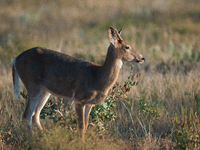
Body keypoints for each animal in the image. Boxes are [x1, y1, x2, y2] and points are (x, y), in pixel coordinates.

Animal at [12, 26, 144, 136]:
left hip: (45, 91)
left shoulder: (90, 104)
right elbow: (80, 127)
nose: (142, 58)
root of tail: (15, 59)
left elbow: (85, 126)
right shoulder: (79, 98)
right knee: (27, 115)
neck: (97, 77)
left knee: (35, 115)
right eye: (127, 47)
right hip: (32, 84)